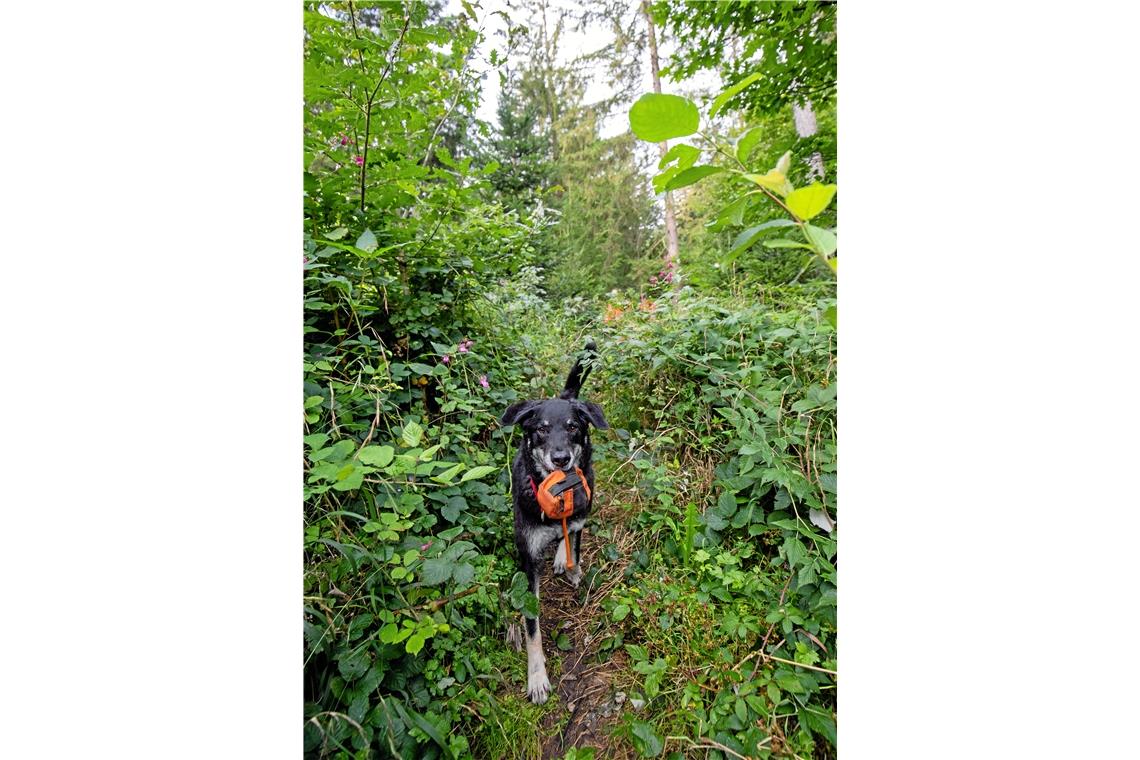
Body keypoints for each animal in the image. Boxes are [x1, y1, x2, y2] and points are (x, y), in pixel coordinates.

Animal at [499, 341, 606, 706]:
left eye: (573, 427)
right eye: (542, 429)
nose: (561, 459)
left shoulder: (579, 516)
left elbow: (574, 544)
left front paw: (572, 568)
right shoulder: (528, 559)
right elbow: (532, 626)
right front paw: (537, 678)